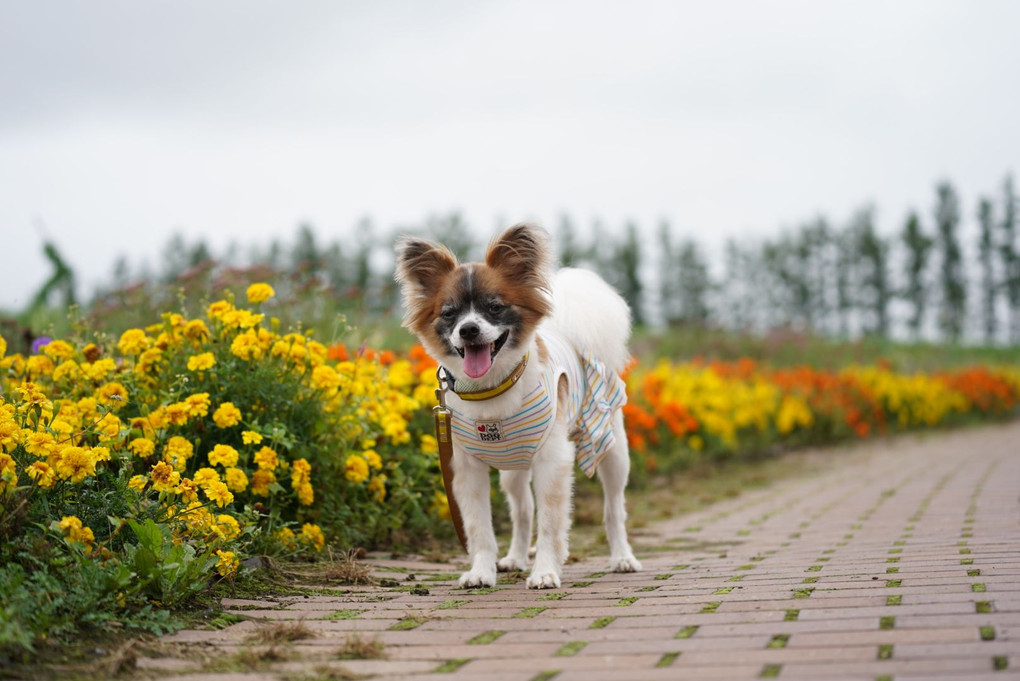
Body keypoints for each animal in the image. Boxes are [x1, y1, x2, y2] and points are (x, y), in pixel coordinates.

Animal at [393, 223, 640, 591]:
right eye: (449, 313)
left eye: (494, 307)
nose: (468, 329)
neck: (491, 390)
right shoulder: (467, 468)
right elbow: (480, 528)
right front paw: (481, 571)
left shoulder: (553, 460)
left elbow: (551, 522)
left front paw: (546, 571)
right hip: (512, 471)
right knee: (522, 513)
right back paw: (516, 558)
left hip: (612, 451)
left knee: (613, 509)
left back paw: (622, 557)